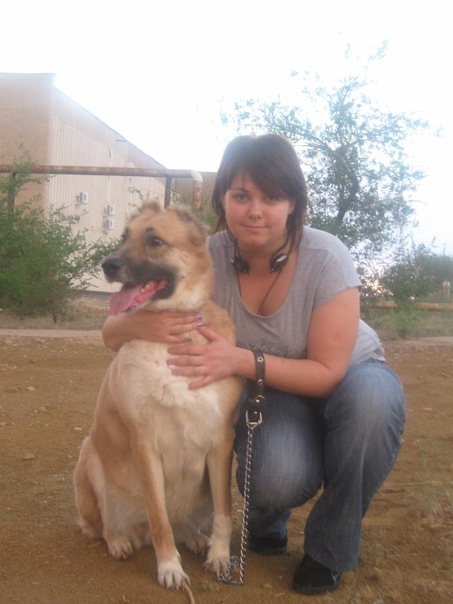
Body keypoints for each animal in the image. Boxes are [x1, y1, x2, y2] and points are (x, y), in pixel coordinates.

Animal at [73, 202, 242, 589]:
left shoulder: (221, 440)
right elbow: (159, 516)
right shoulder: (144, 443)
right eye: (123, 237)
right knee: (103, 525)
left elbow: (225, 511)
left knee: (187, 523)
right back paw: (119, 540)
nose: (107, 265)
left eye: (155, 241)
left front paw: (219, 554)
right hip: (90, 455)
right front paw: (169, 568)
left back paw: (196, 537)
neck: (169, 338)